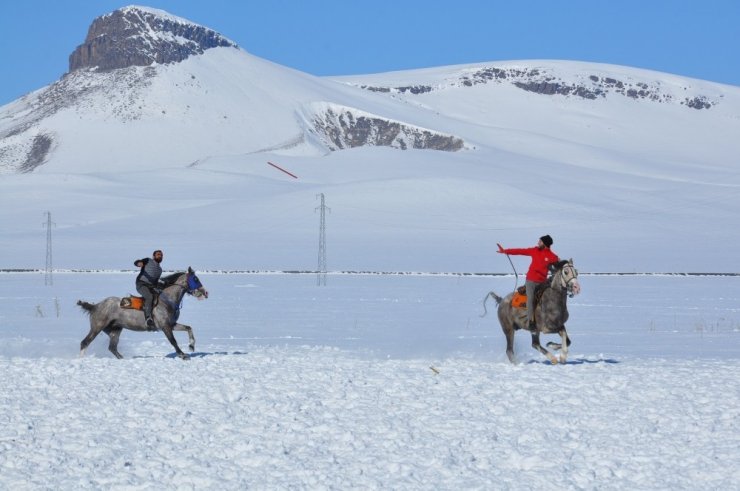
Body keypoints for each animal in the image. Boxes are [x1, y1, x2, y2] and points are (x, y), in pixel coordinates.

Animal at [77, 270, 208, 362]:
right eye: (195, 279)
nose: (205, 293)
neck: (167, 301)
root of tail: (95, 306)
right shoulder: (165, 327)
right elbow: (173, 341)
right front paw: (183, 355)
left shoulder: (172, 324)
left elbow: (188, 328)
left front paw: (191, 346)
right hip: (97, 327)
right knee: (85, 342)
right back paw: (82, 359)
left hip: (115, 330)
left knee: (112, 348)